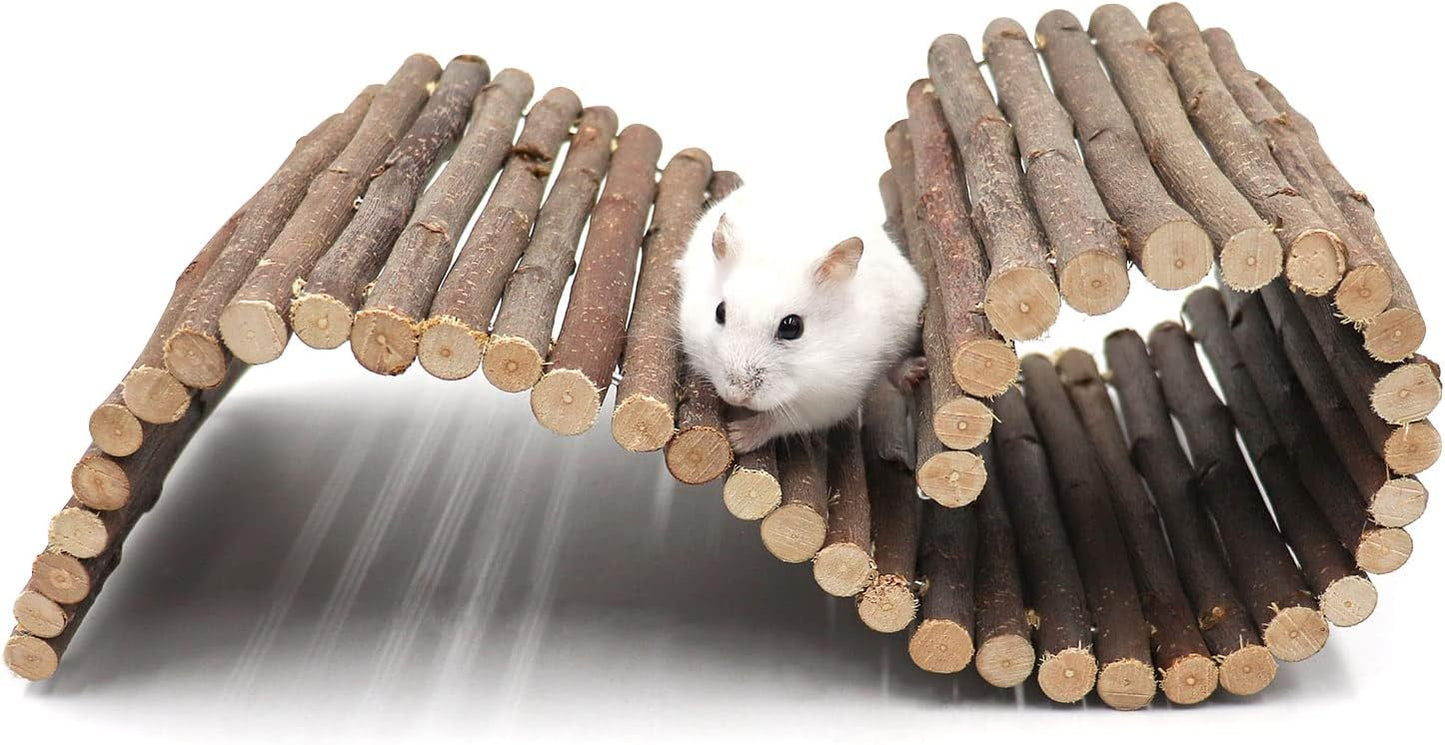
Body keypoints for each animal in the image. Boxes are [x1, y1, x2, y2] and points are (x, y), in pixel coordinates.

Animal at [676, 183, 927, 453]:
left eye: (791, 327)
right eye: (719, 312)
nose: (737, 395)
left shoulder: (828, 400)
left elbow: (777, 421)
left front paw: (736, 437)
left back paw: (916, 372)